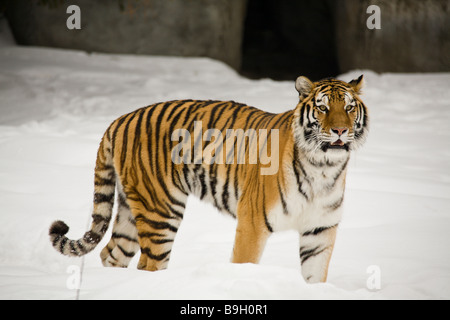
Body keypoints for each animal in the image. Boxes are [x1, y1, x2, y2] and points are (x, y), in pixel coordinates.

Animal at [49, 74, 368, 282]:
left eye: (349, 107)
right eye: (323, 107)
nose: (340, 131)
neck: (323, 167)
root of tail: (119, 120)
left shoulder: (320, 230)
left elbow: (315, 277)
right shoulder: (253, 223)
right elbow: (244, 263)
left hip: (130, 209)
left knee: (112, 254)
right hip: (160, 212)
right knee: (148, 265)